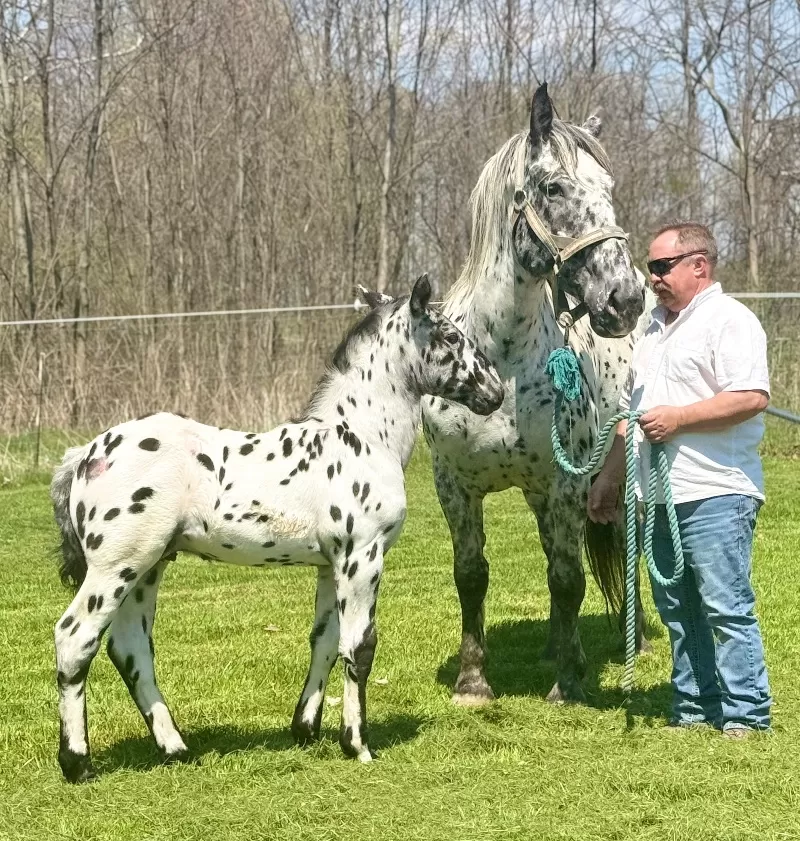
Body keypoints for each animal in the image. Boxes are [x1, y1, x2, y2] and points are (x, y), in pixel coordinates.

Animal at [51, 274, 505, 783]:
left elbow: (325, 640)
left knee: (130, 649)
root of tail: (85, 455)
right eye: (450, 336)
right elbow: (360, 646)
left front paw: (305, 728)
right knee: (75, 638)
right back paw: (77, 762)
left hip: (149, 566)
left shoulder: (332, 564)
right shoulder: (362, 556)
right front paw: (357, 744)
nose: (495, 392)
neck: (362, 437)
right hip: (116, 566)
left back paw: (176, 748)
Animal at [421, 84, 653, 706]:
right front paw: (473, 681)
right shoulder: (455, 486)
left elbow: (569, 579)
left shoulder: (565, 484)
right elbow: (471, 576)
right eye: (553, 188)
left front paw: (568, 683)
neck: (499, 361)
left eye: (610, 190)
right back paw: (554, 644)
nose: (624, 299)